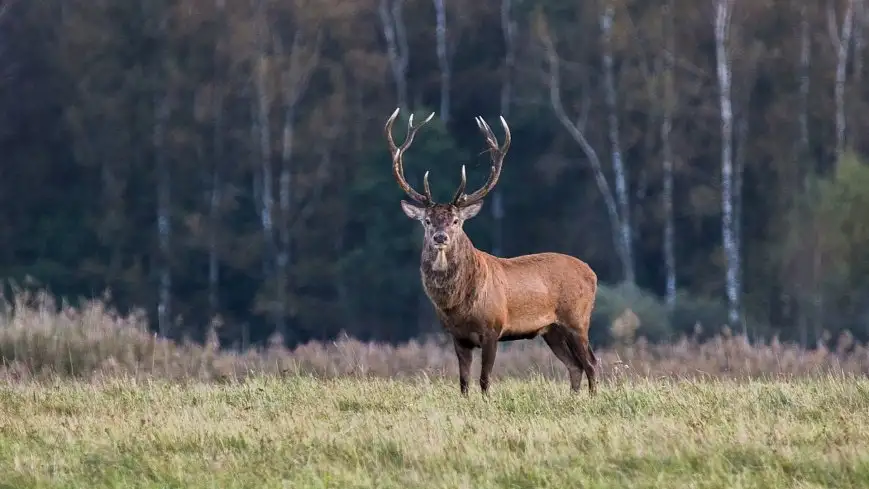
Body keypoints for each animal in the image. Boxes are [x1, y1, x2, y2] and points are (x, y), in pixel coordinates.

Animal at [384, 107, 600, 396]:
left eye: (456, 221)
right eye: (427, 221)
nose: (440, 237)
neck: (458, 305)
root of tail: (592, 273)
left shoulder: (493, 328)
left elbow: (485, 380)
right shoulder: (458, 337)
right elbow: (464, 382)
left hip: (577, 319)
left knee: (591, 363)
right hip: (551, 330)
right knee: (575, 366)